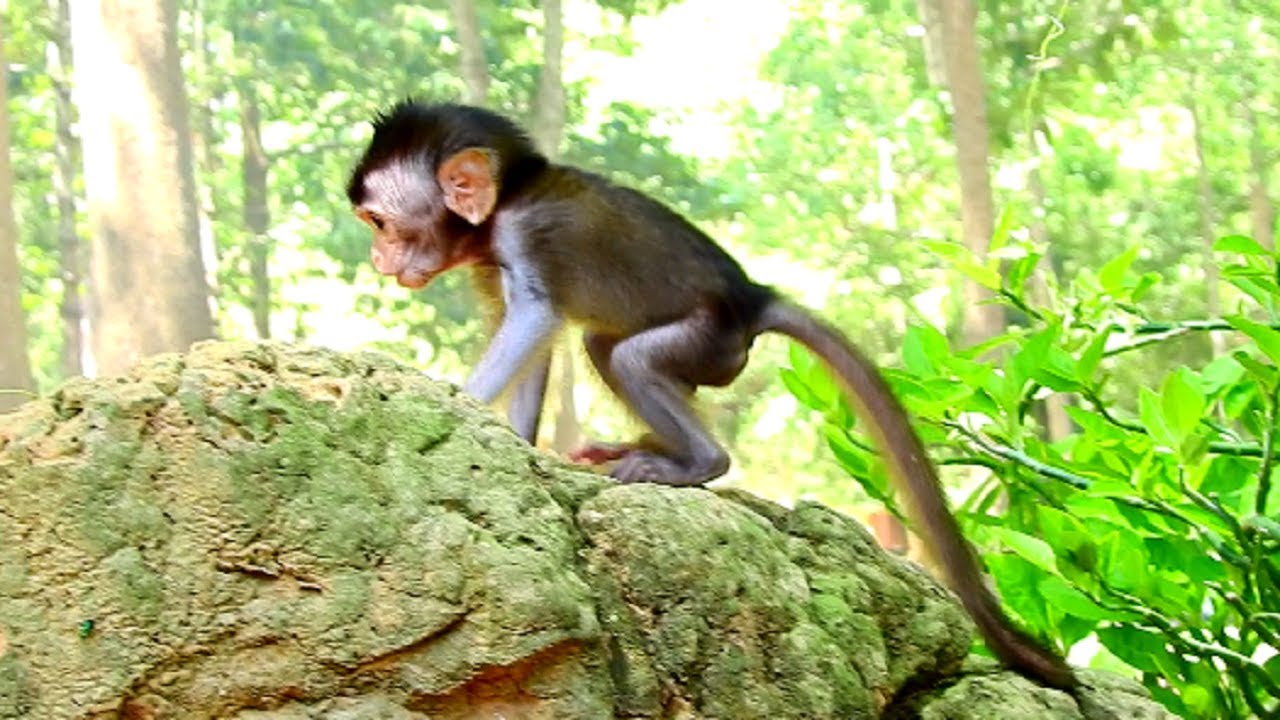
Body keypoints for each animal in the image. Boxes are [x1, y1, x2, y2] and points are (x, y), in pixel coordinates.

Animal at [345, 100, 1079, 691]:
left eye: (380, 223)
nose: (378, 261)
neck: (505, 202)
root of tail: (754, 297)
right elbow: (533, 342)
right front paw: (512, 442)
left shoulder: (525, 238)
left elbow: (534, 317)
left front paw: (455, 397)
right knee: (604, 348)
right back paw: (645, 447)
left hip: (711, 338)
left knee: (631, 356)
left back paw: (695, 463)